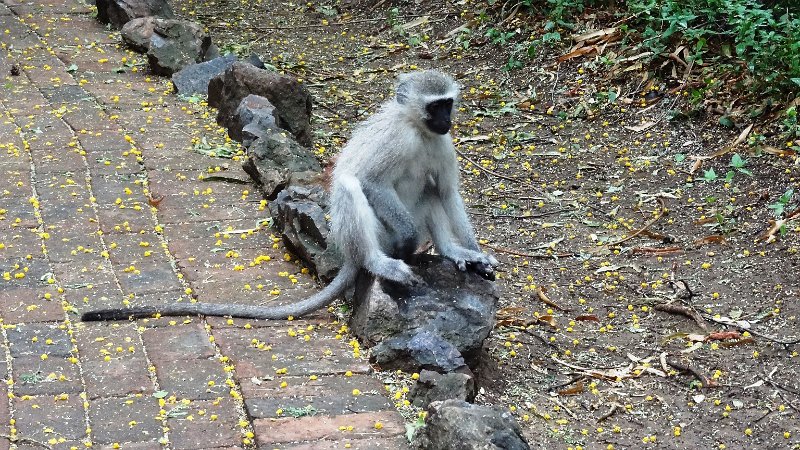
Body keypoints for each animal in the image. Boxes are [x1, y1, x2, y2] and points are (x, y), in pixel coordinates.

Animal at [81, 70, 497, 322]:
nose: (447, 120)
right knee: (351, 189)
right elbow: (371, 182)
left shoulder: (442, 143)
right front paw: (410, 242)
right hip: (373, 235)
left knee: (430, 189)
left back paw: (451, 251)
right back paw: (379, 262)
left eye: (447, 104)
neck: (418, 130)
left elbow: (448, 191)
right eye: (434, 105)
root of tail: (351, 251)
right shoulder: (397, 141)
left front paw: (473, 253)